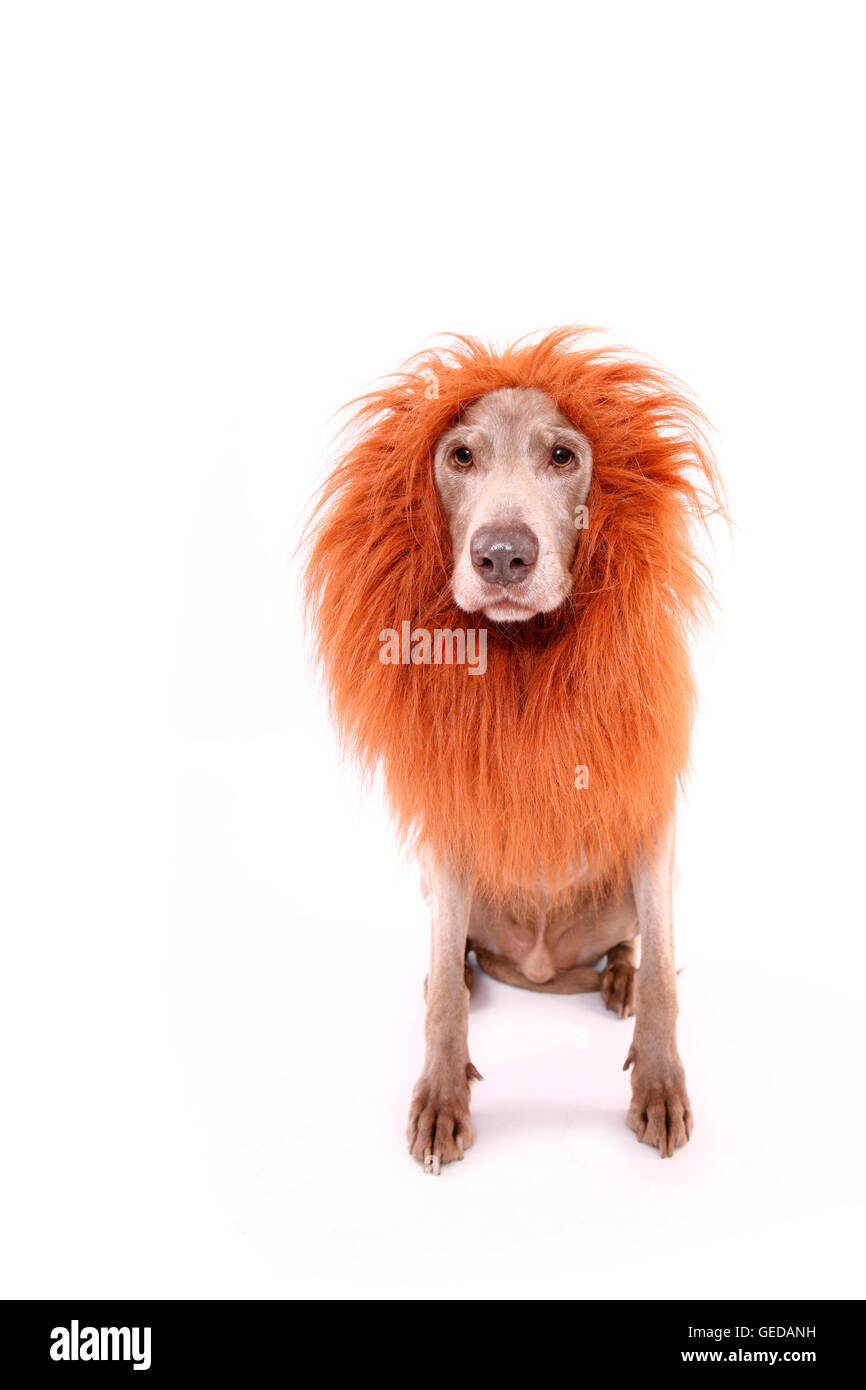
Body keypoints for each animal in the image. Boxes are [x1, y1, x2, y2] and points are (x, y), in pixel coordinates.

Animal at [304, 330, 722, 1167]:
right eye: (460, 455)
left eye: (564, 456)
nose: (502, 556)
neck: (527, 657)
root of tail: (538, 963)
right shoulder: (451, 827)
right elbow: (442, 997)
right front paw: (441, 1099)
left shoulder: (652, 816)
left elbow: (665, 976)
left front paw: (660, 1087)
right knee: (453, 955)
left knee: (634, 948)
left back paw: (616, 978)